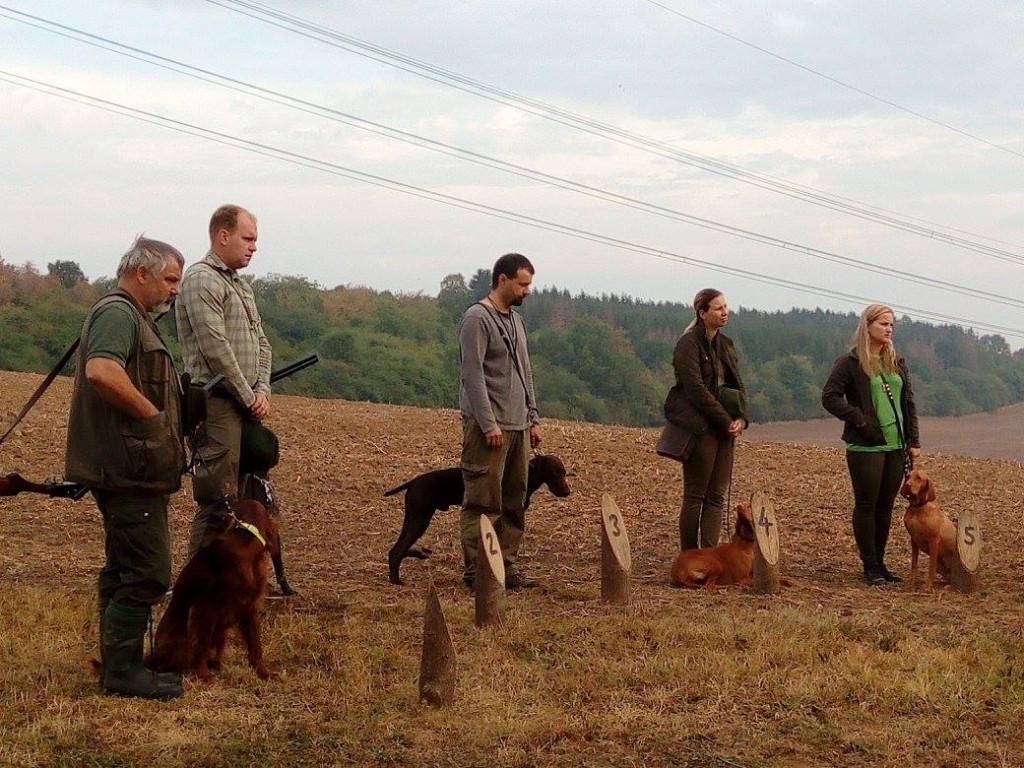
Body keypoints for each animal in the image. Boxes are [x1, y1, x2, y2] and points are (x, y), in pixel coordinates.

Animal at [148, 501, 280, 684]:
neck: (246, 542)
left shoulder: (251, 607)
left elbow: (255, 645)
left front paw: (263, 673)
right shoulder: (206, 608)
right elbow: (202, 645)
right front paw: (203, 675)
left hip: (221, 634)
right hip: (180, 643)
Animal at [387, 454, 573, 585]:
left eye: (564, 473)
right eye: (555, 473)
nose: (567, 492)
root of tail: (414, 481)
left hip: (413, 517)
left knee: (395, 549)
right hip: (420, 519)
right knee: (398, 550)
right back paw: (397, 580)